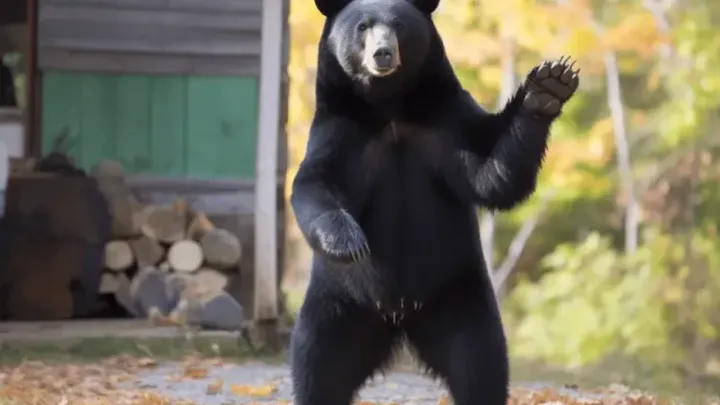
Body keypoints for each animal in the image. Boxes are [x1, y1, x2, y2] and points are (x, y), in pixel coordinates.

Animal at [289, 0, 580, 404]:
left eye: (398, 25)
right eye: (363, 26)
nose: (382, 53)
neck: (390, 107)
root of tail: (398, 317)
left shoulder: (446, 124)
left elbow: (493, 173)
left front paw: (549, 86)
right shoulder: (342, 131)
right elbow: (315, 182)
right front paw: (349, 241)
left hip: (458, 295)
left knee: (479, 364)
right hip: (338, 303)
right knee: (318, 365)